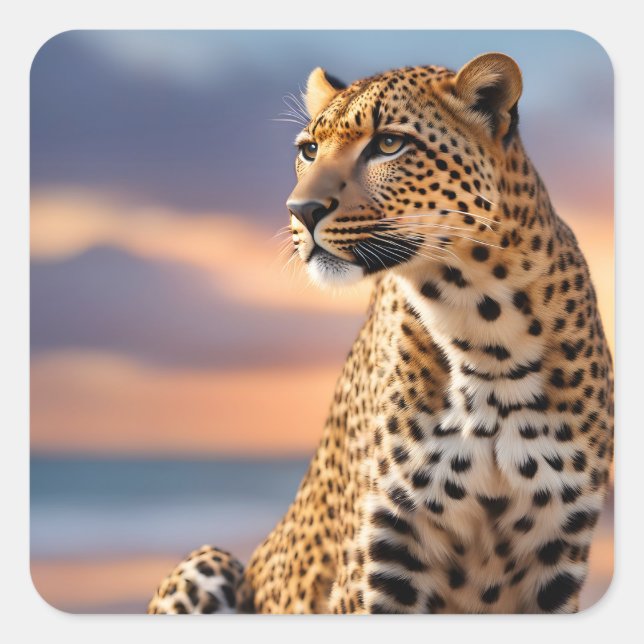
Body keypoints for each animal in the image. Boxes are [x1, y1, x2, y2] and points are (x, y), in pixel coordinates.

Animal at [148, 52, 614, 615]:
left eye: (389, 144)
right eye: (309, 150)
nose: (300, 211)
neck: (487, 333)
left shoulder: (558, 559)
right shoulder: (381, 559)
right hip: (210, 560)